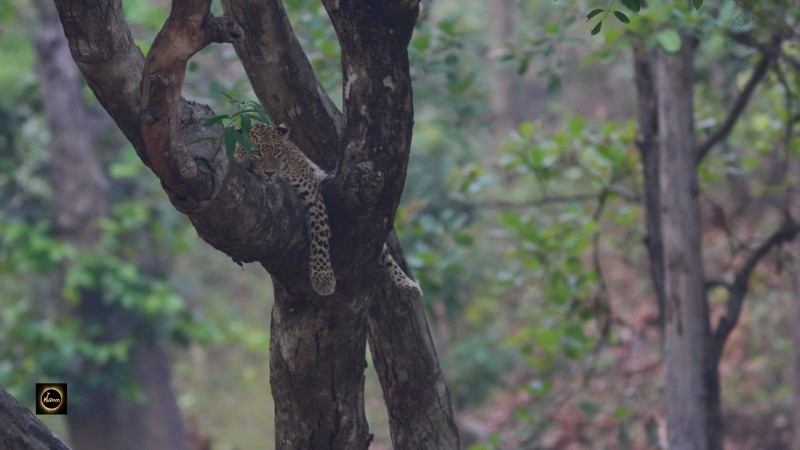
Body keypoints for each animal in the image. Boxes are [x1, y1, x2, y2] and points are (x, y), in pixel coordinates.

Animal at [235, 123, 421, 298]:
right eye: (256, 152)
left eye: (278, 152)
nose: (270, 173)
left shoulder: (313, 194)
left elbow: (320, 237)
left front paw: (323, 279)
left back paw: (408, 284)